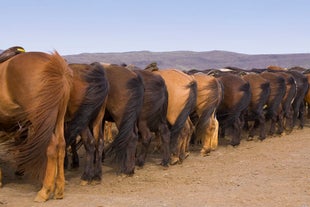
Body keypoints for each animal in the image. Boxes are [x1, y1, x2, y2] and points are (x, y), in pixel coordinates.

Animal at [0, 51, 72, 201]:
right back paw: (59, 189)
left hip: (41, 119)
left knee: (51, 147)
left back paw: (44, 191)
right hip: (58, 118)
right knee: (61, 145)